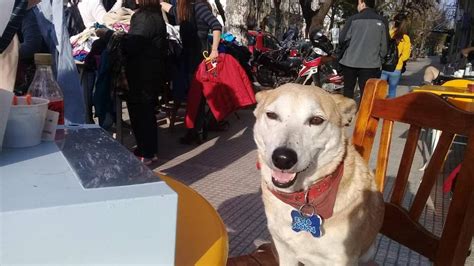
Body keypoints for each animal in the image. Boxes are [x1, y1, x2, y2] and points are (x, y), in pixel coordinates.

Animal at [254, 84, 384, 264]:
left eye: (316, 120)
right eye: (272, 115)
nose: (282, 159)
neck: (303, 197)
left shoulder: (342, 259)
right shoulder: (284, 251)